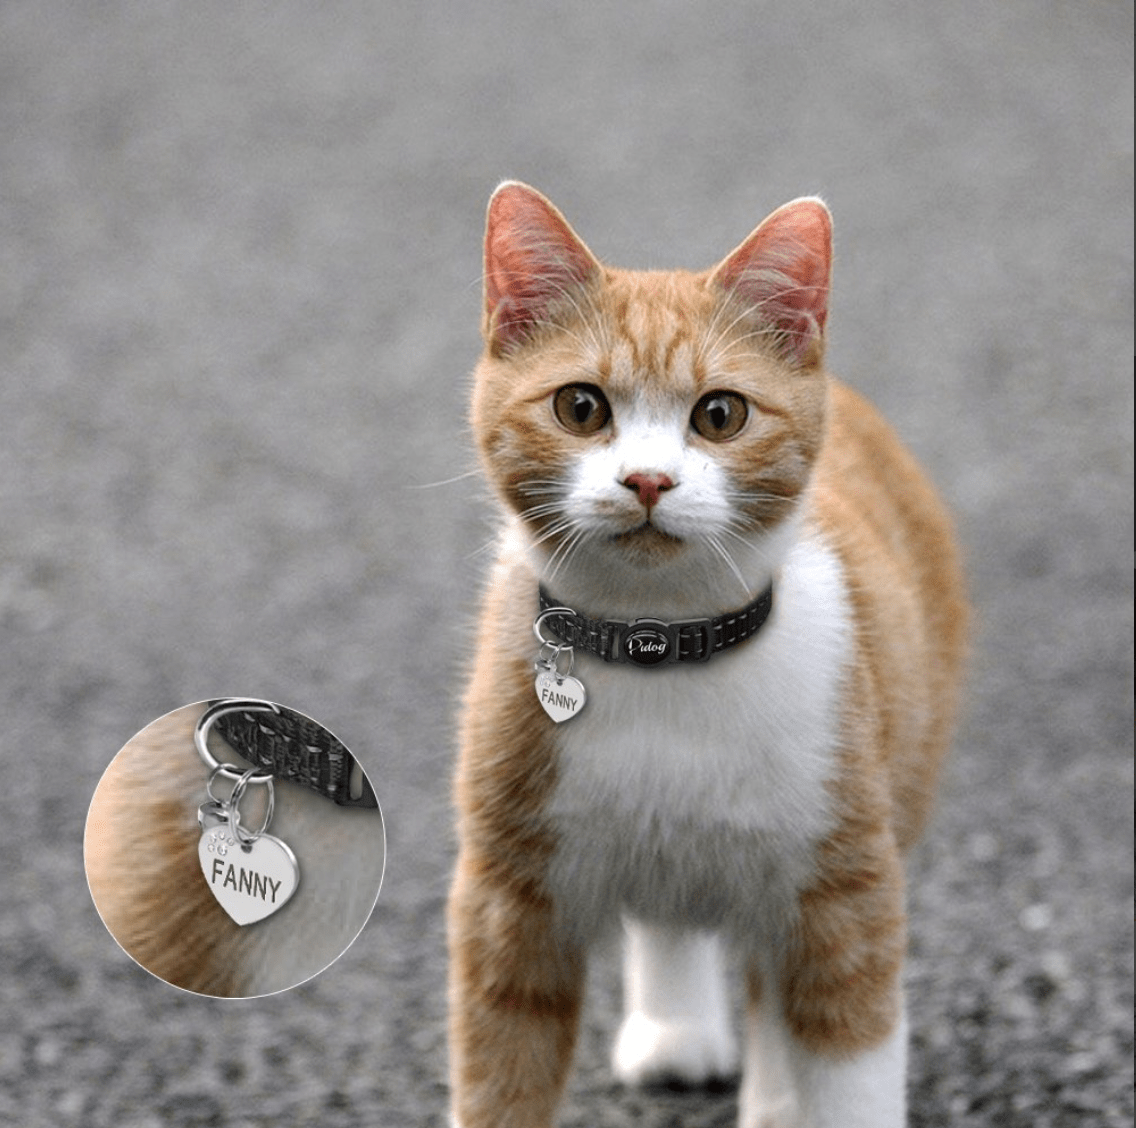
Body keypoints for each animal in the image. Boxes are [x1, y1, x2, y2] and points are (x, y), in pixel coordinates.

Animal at [449, 182, 967, 1126]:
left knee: (767, 983)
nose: (648, 480)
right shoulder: (508, 898)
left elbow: (846, 1056)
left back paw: (771, 1098)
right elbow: (500, 1070)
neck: (665, 649)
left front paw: (803, 1096)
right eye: (581, 407)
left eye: (719, 415)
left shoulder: (846, 888)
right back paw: (675, 1030)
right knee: (669, 914)